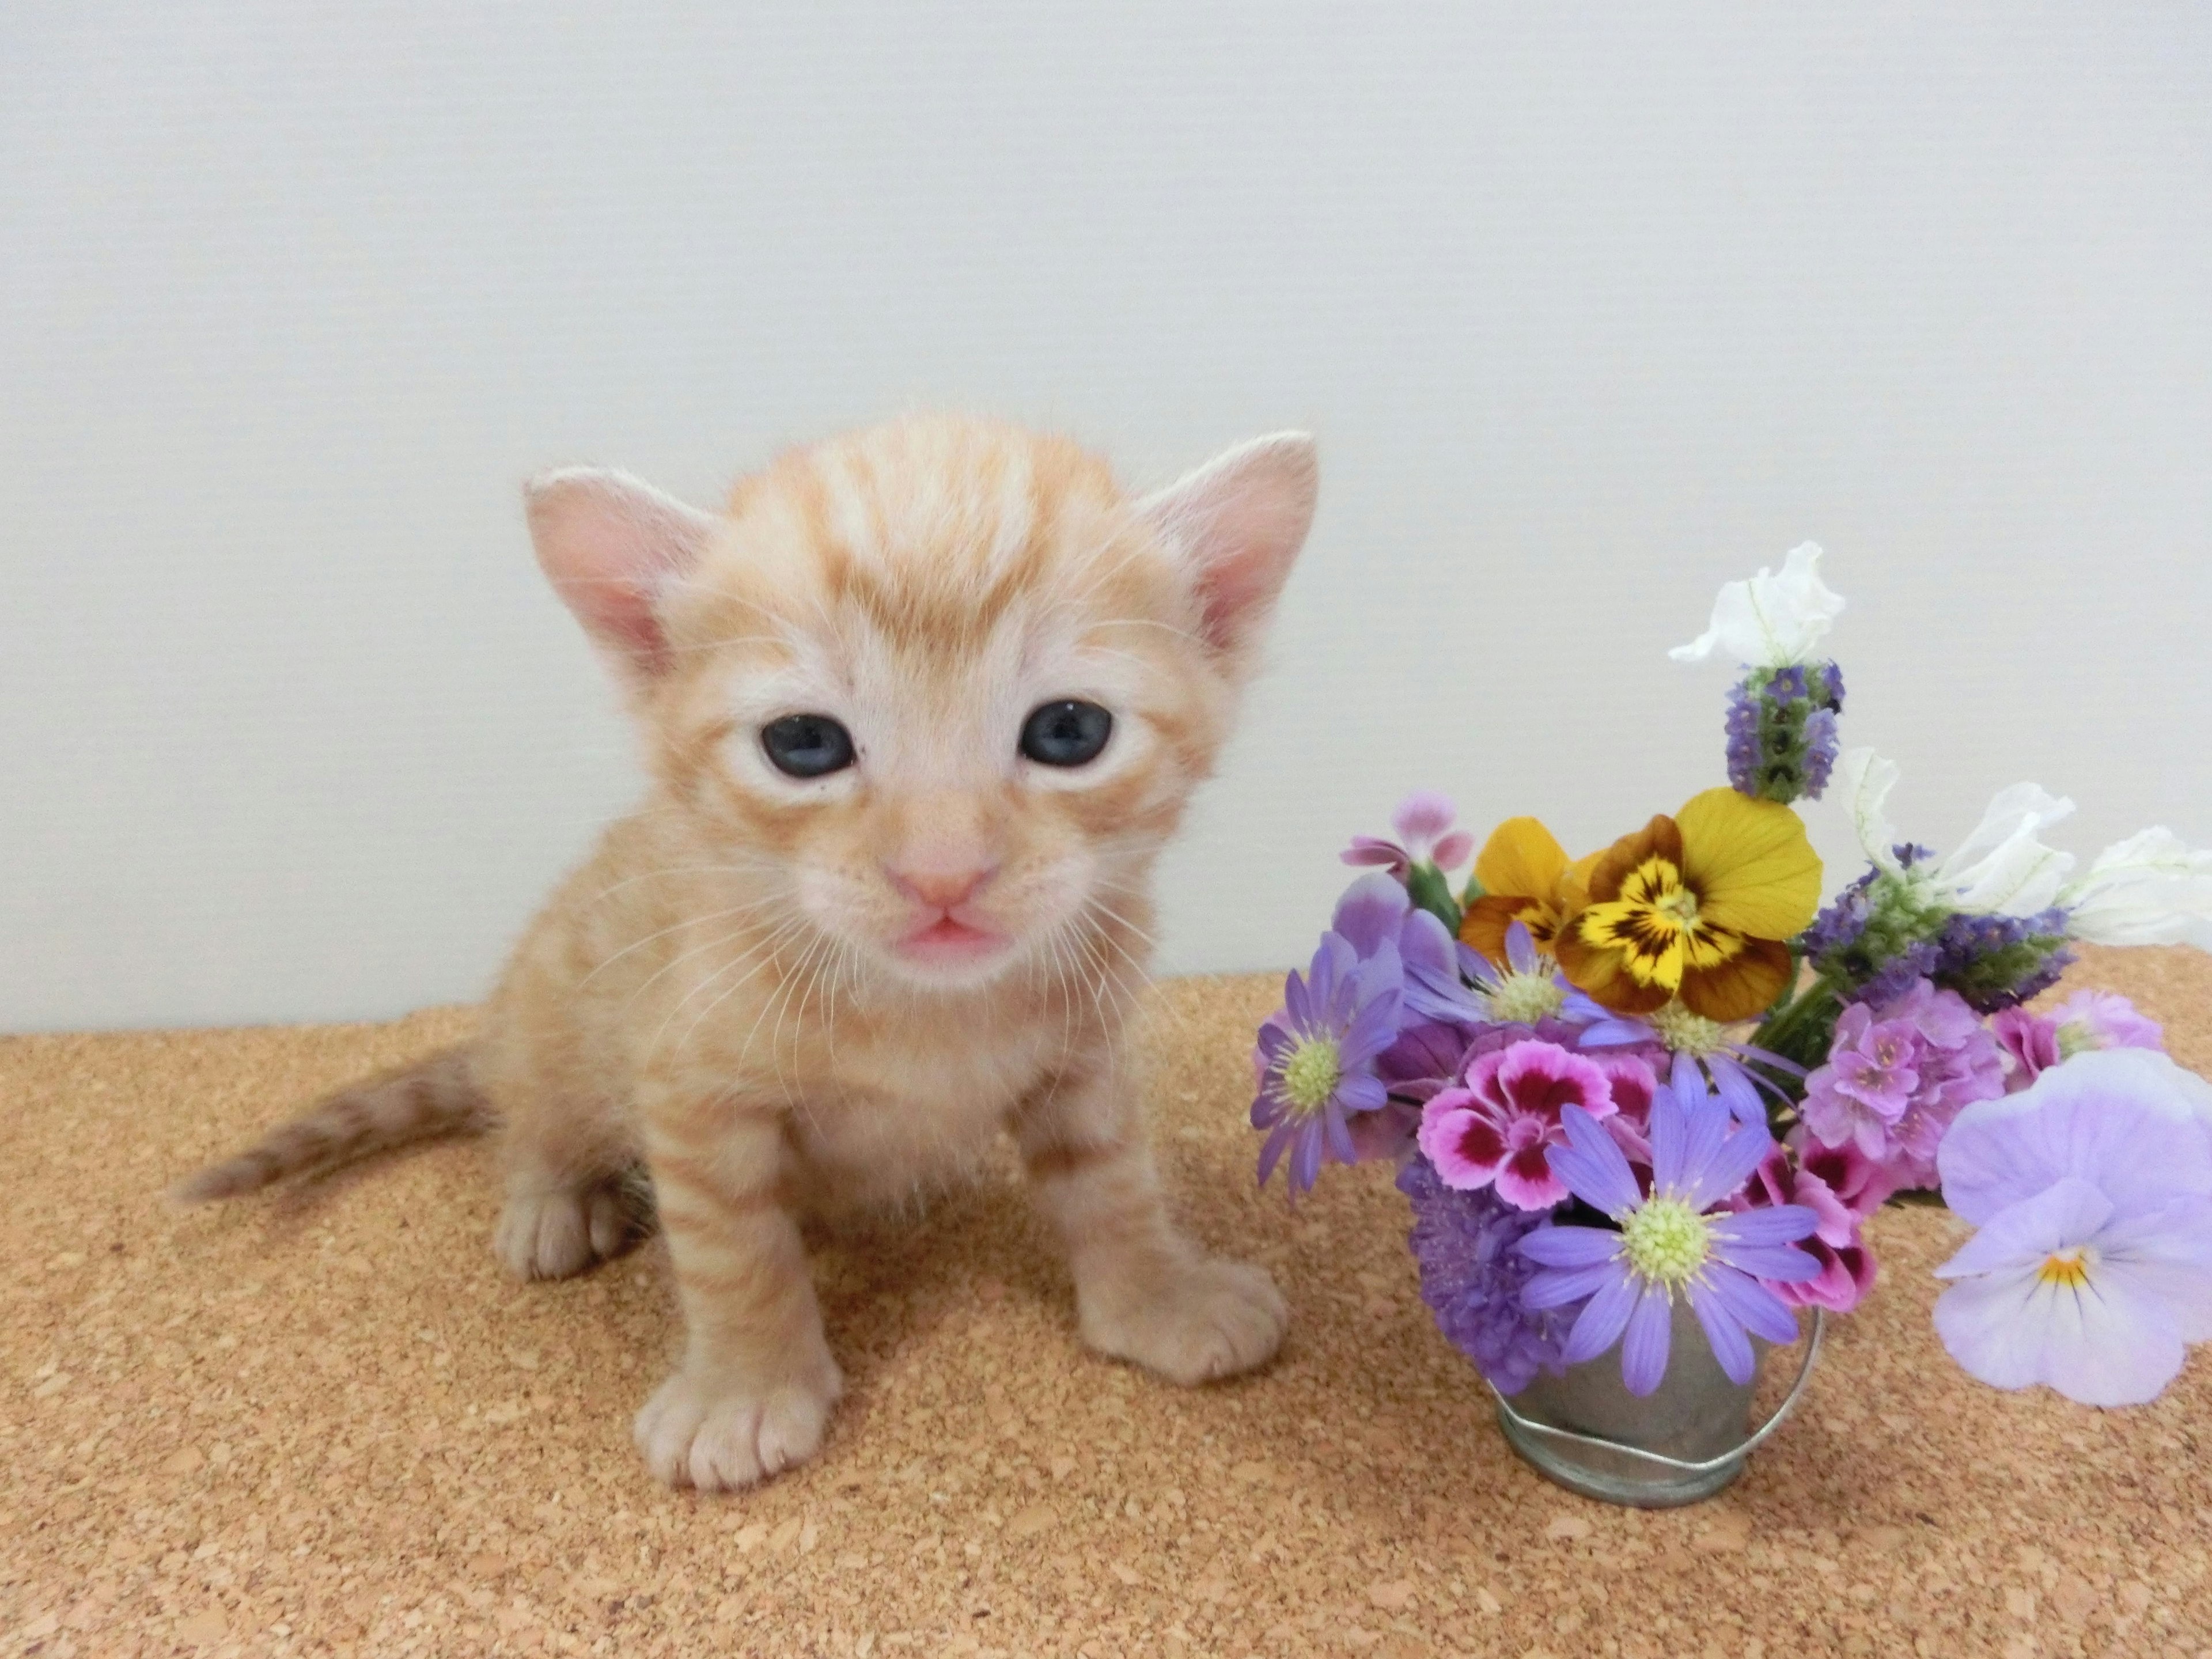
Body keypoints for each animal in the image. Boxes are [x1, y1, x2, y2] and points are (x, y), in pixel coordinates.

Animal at [185, 418, 1309, 1495]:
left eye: (1070, 730)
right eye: (804, 744)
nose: (942, 873)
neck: (922, 1009)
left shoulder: (1085, 1052)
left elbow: (1114, 1182)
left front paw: (1160, 1298)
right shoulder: (686, 1081)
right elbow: (734, 1250)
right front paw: (746, 1391)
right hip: (555, 1011)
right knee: (533, 1111)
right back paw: (553, 1198)